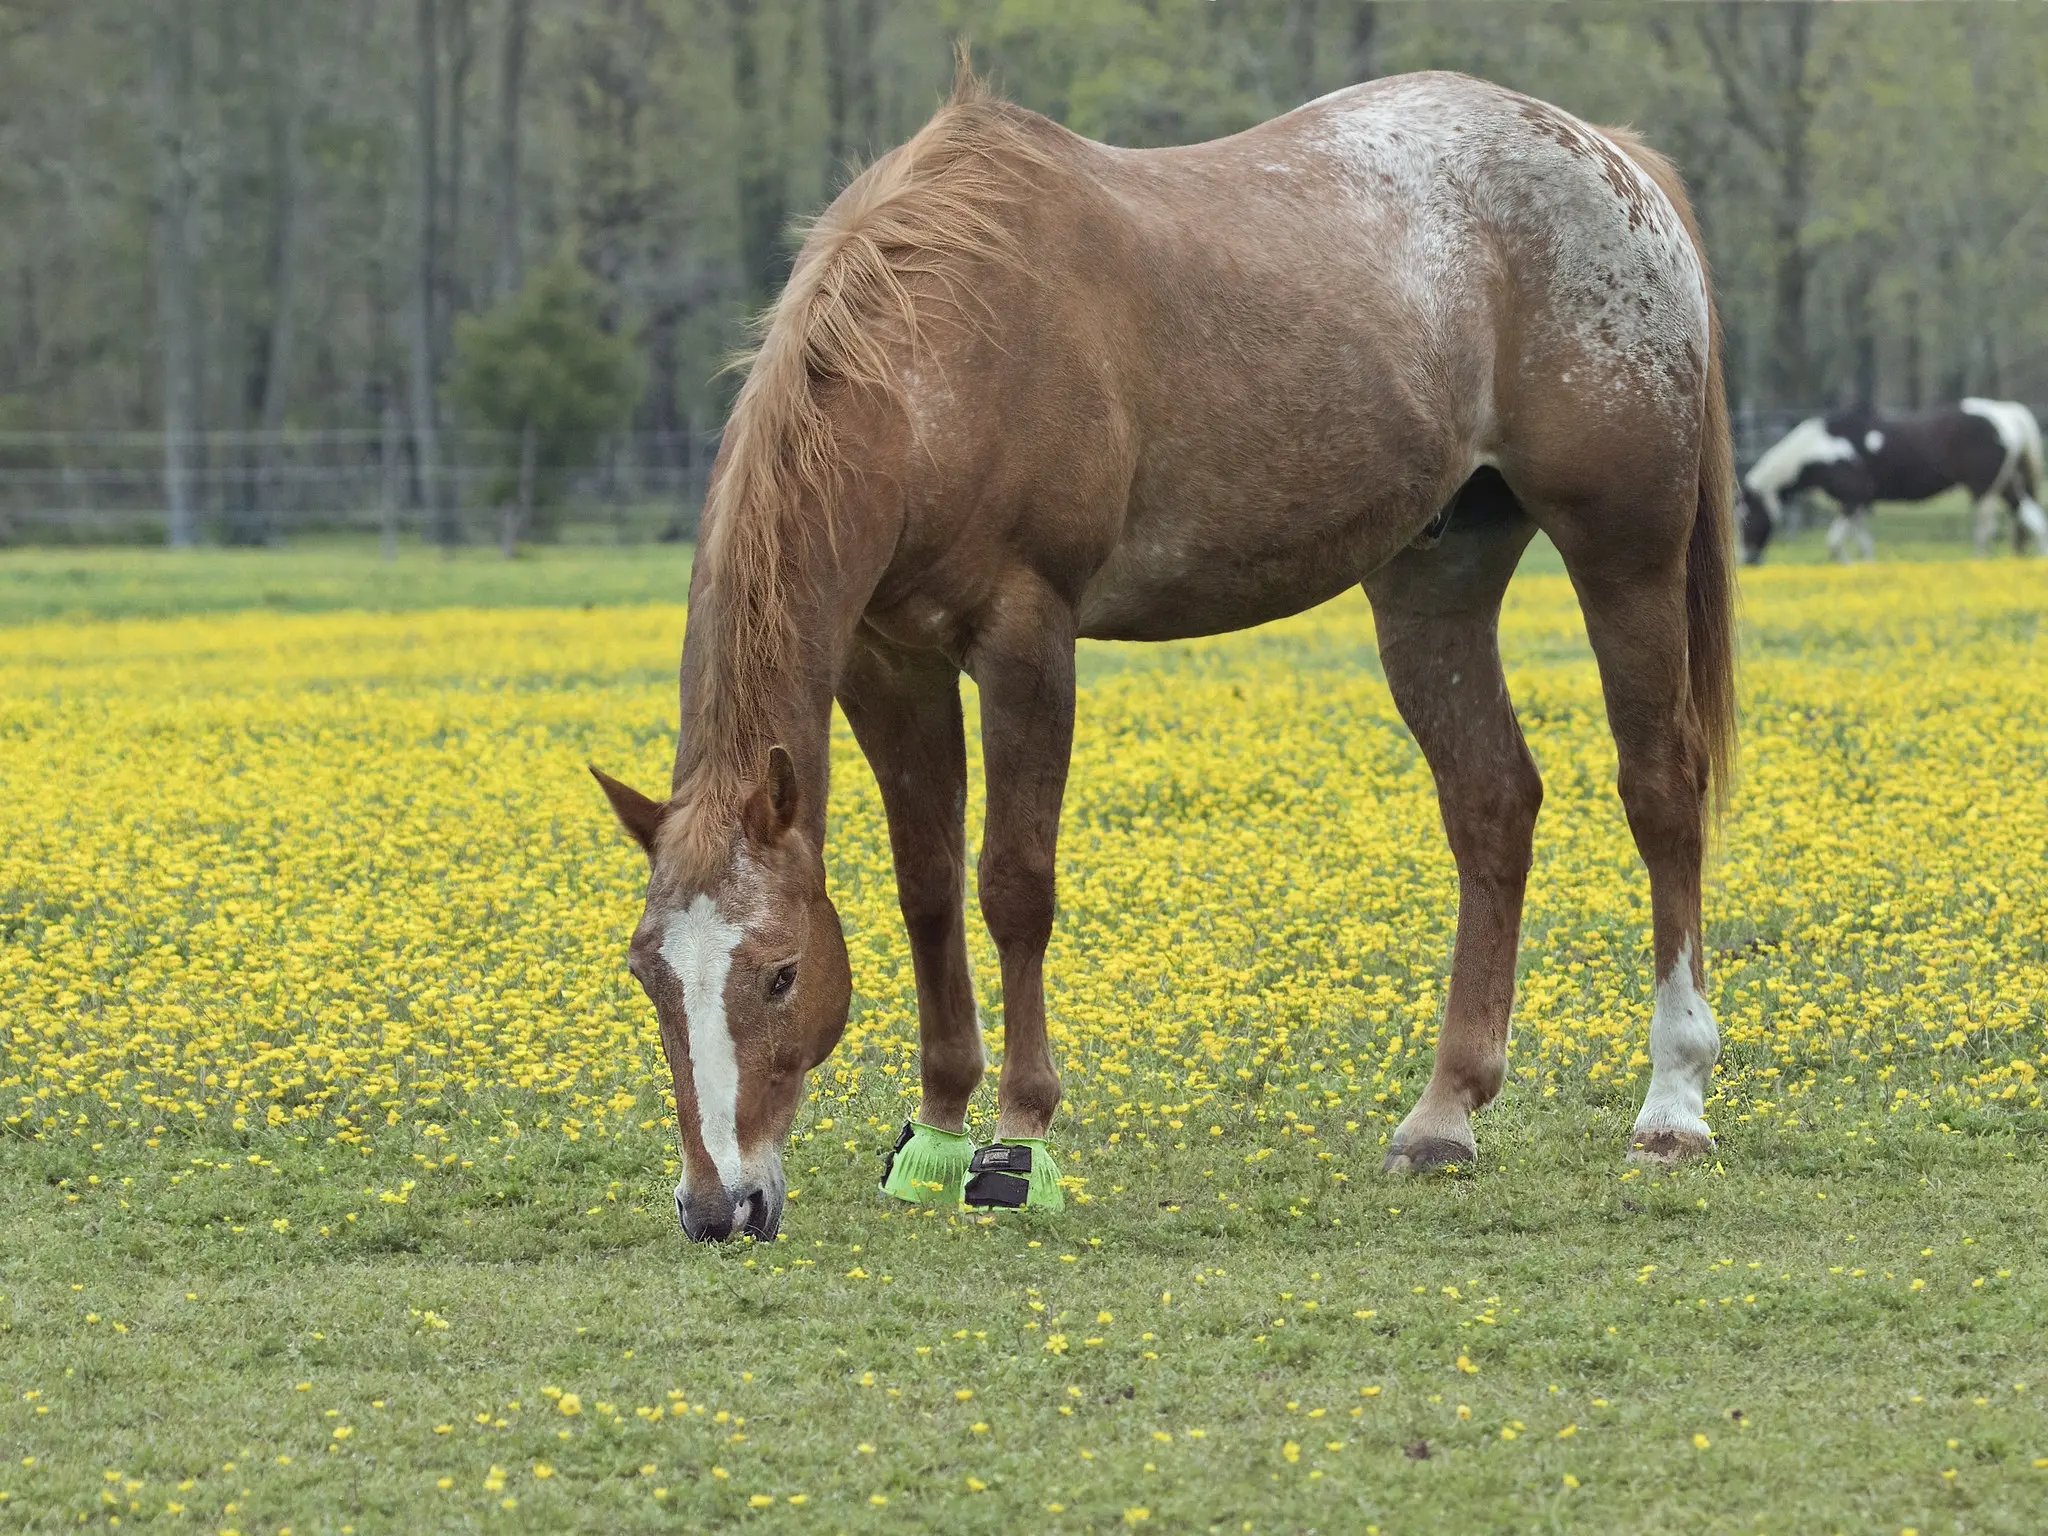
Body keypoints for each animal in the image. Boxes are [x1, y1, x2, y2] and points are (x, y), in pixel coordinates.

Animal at [585, 63, 1736, 1253]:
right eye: (648, 976)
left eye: (779, 975)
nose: (718, 1205)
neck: (938, 363)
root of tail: (1610, 155)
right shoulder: (888, 663)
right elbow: (927, 888)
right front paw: (936, 1130)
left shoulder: (1026, 641)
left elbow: (1013, 885)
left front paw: (1014, 1142)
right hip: (1434, 581)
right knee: (1491, 804)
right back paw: (1443, 1115)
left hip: (1626, 555)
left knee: (1661, 793)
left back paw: (1672, 1104)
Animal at [1744, 399, 2048, 561]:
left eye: (1746, 518)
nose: (1749, 559)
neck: (1825, 445)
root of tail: (2006, 414)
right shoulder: (1858, 505)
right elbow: (1863, 543)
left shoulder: (1853, 499)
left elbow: (1835, 542)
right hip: (2007, 485)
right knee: (2034, 520)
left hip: (1983, 490)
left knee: (1985, 531)